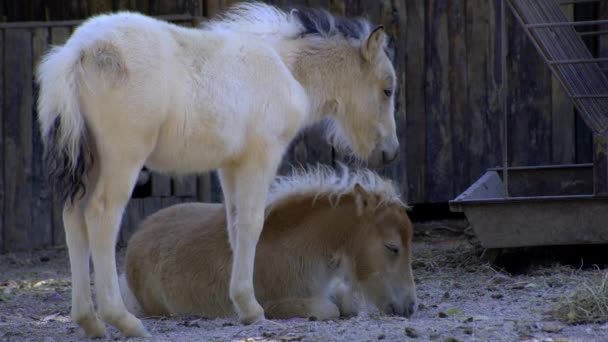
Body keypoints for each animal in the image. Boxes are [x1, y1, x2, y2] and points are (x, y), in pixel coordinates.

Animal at [120, 167, 416, 320]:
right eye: (392, 247)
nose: (410, 307)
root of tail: (137, 234)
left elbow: (347, 301)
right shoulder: (277, 304)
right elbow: (328, 309)